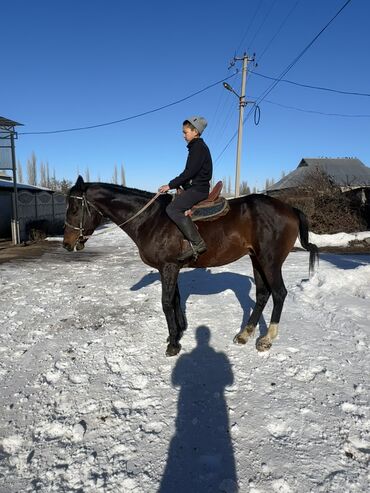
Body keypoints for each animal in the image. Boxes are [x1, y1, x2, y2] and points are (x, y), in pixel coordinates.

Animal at [62, 175, 318, 356]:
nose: (67, 244)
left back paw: (266, 339)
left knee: (279, 293)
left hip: (270, 261)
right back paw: (244, 334)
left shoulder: (168, 267)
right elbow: (175, 300)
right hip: (257, 259)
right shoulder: (170, 268)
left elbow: (166, 303)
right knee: (263, 294)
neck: (150, 219)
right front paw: (176, 334)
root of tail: (290, 208)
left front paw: (173, 344)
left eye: (74, 208)